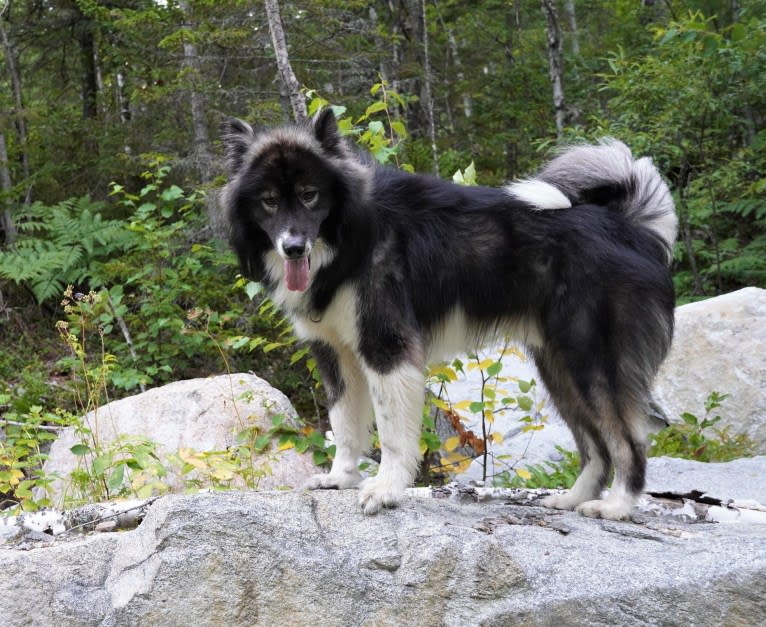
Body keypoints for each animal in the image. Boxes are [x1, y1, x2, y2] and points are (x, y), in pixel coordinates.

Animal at [222, 110, 680, 524]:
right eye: (268, 201)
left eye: (310, 194)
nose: (293, 247)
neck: (349, 233)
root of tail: (628, 227)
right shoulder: (335, 354)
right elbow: (346, 425)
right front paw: (341, 478)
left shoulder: (387, 348)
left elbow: (392, 434)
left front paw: (386, 489)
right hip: (560, 368)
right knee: (596, 448)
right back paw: (573, 499)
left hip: (590, 363)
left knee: (628, 443)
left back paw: (617, 506)